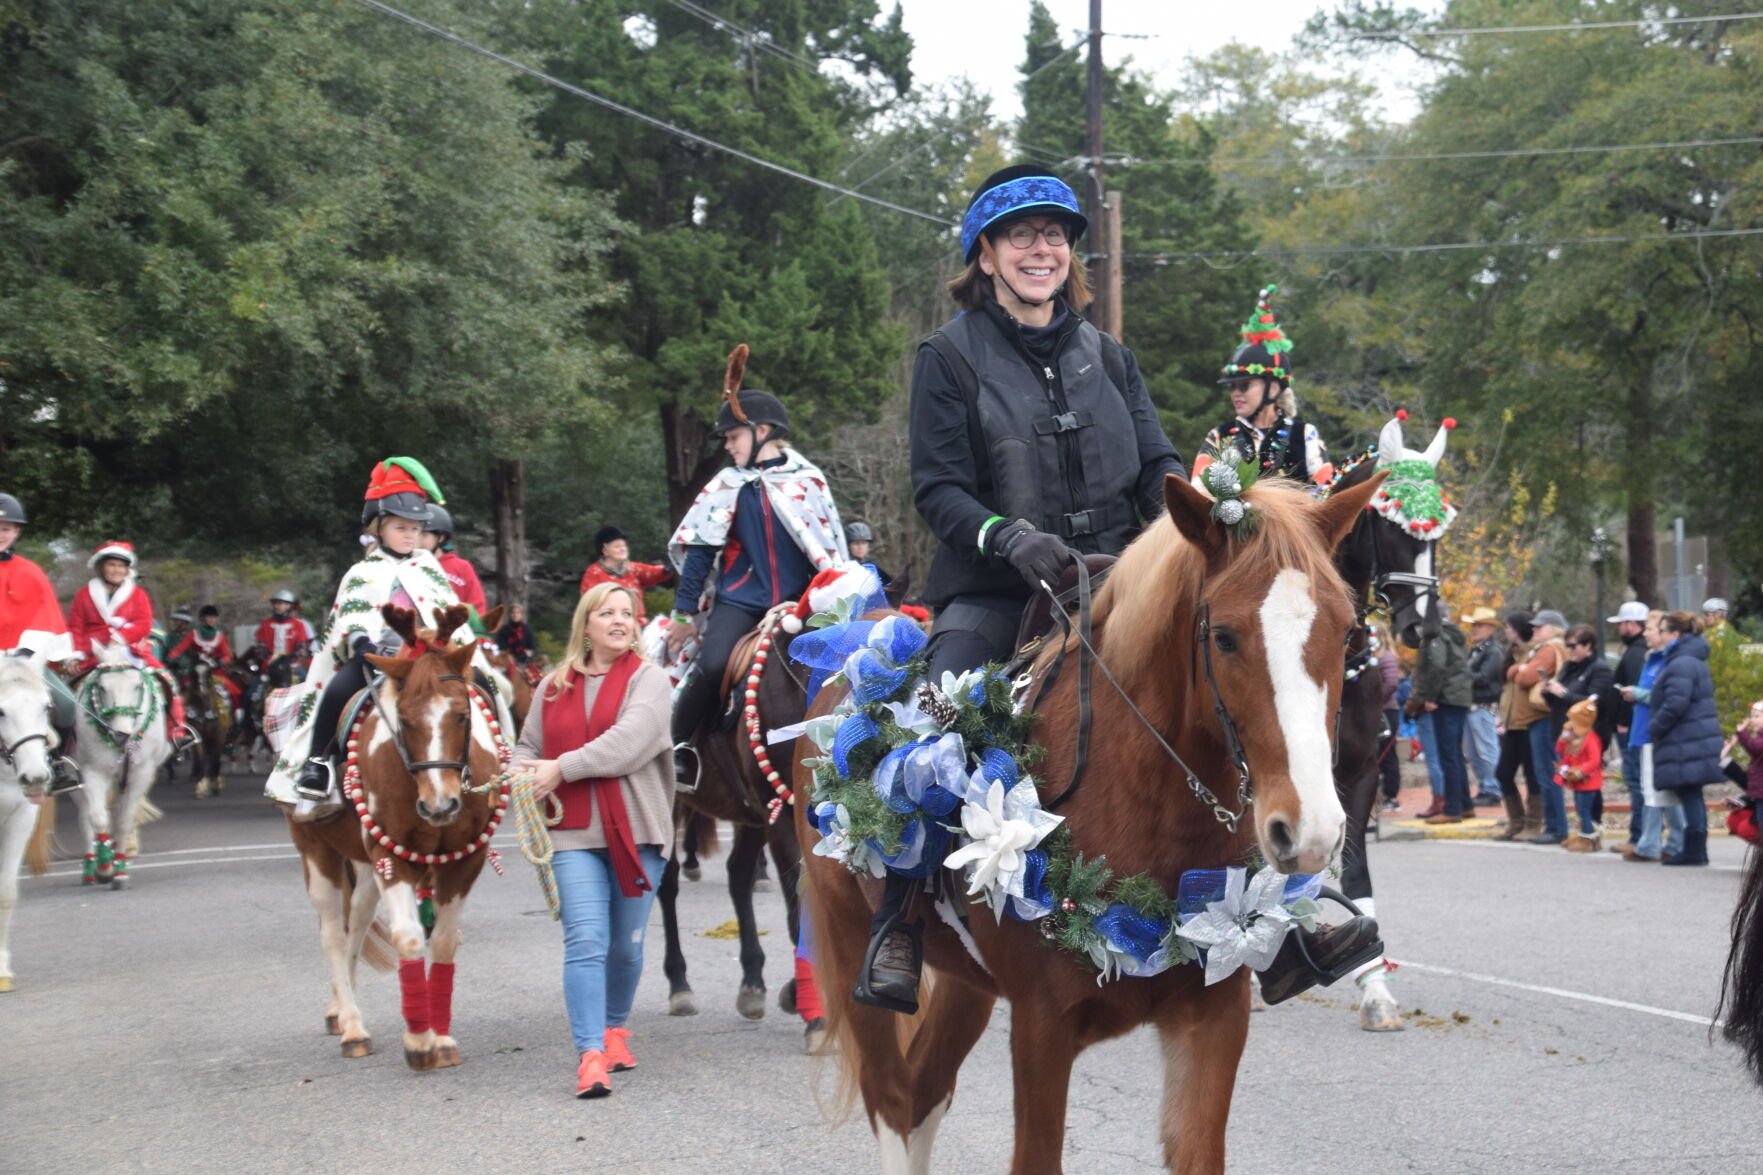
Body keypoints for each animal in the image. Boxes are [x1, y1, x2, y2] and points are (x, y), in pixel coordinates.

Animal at [71, 645, 172, 882]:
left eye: (138, 685)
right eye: (101, 687)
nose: (121, 735)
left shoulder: (141, 773)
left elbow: (125, 821)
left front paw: (119, 868)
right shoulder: (93, 771)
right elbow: (98, 818)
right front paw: (105, 867)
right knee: (86, 817)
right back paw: (91, 868)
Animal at [287, 599, 511, 1065]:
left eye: (463, 716)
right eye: (404, 721)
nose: (441, 805)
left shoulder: (465, 860)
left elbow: (443, 943)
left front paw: (440, 1037)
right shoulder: (393, 855)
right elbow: (408, 938)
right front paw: (419, 1040)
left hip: (364, 867)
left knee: (355, 925)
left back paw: (341, 1010)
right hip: (317, 851)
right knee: (333, 933)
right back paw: (352, 1027)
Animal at [793, 472, 1382, 1164]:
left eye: (1346, 631)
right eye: (1225, 637)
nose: (1311, 832)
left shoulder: (1214, 1019)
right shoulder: (1042, 1027)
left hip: (968, 985)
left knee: (923, 1097)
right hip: (851, 942)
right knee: (889, 1100)